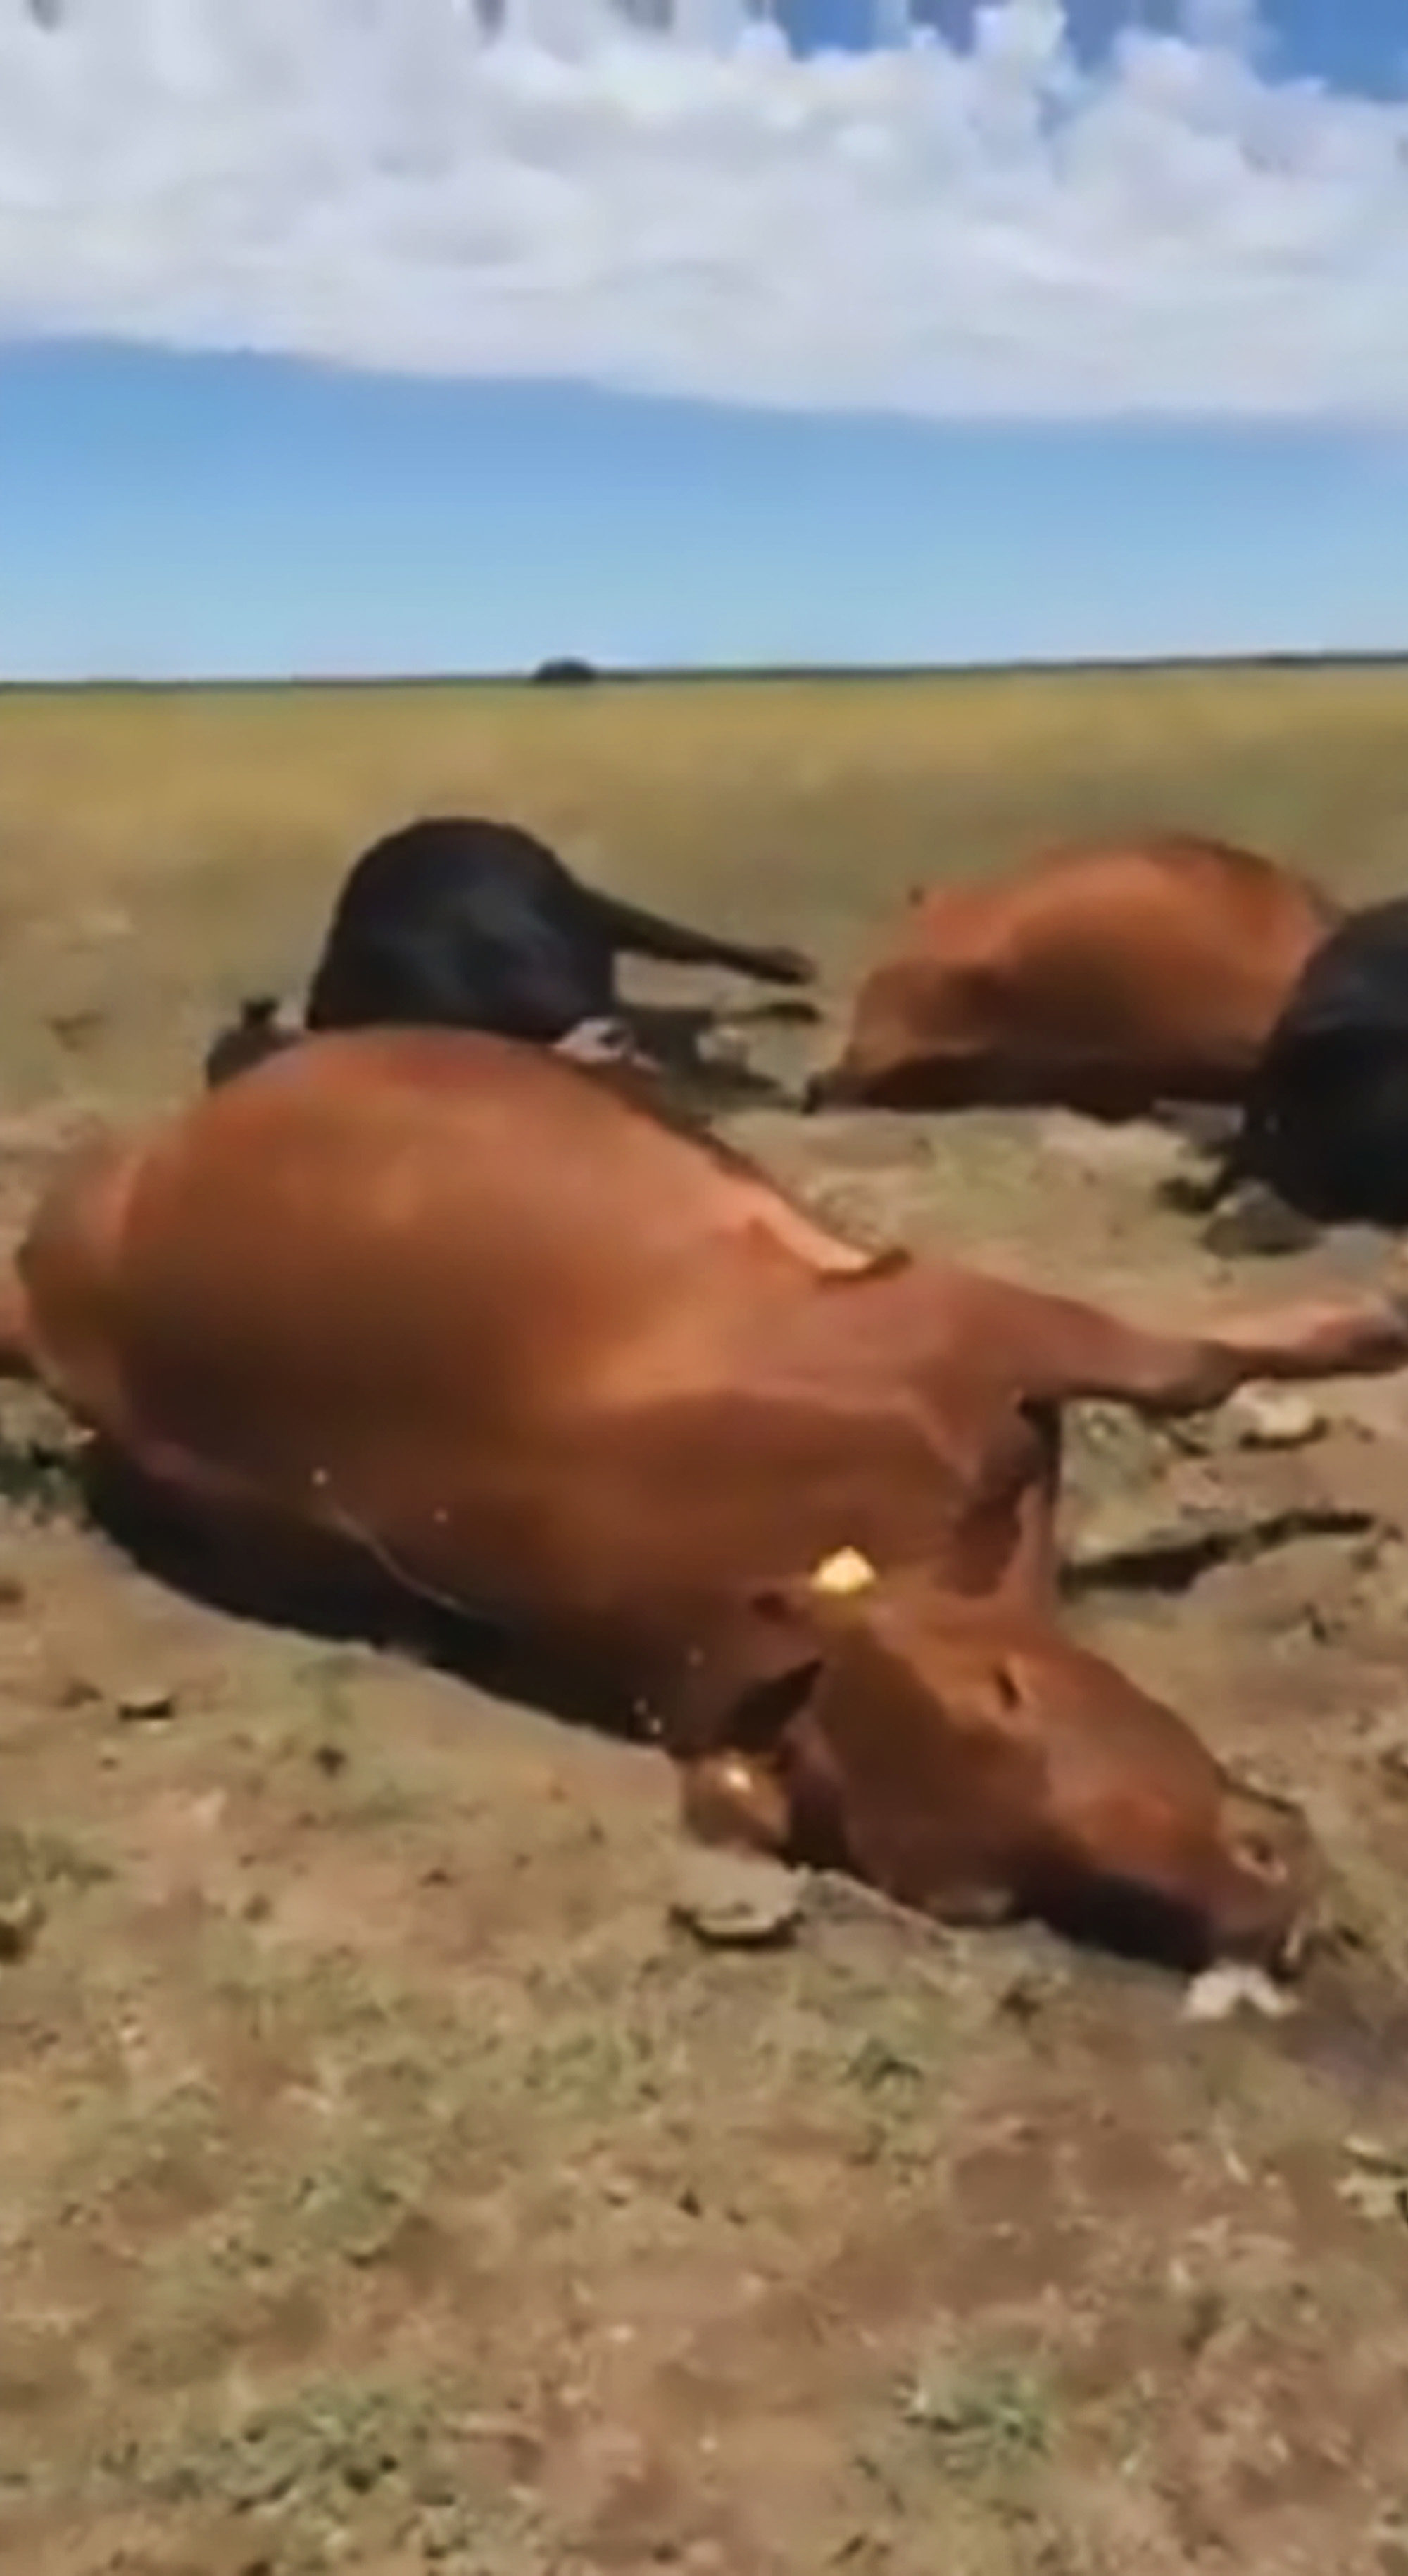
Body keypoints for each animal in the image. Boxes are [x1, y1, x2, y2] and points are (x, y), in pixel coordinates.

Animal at [3, 1028, 1403, 1974]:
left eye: (1012, 1692)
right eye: (985, 1898)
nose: (1261, 1903)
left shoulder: (963, 1320)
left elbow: (1191, 1362)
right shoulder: (964, 1328)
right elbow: (1192, 1363)